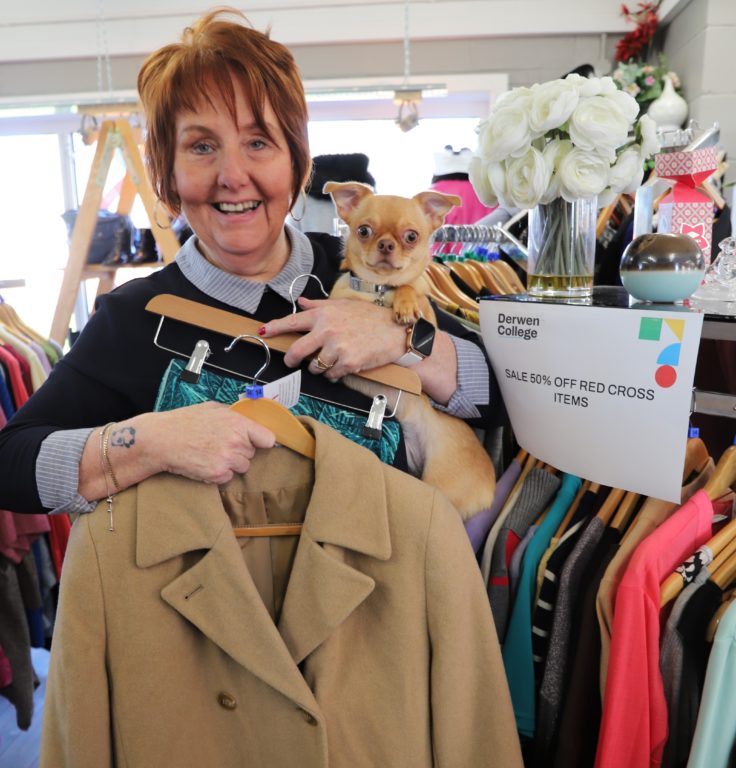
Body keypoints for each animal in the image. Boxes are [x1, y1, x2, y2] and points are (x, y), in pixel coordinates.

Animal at [322, 181, 494, 520]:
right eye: (364, 231)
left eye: (411, 236)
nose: (387, 244)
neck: (378, 292)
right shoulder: (344, 295)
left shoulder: (428, 320)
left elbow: (411, 287)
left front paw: (405, 302)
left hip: (441, 484)